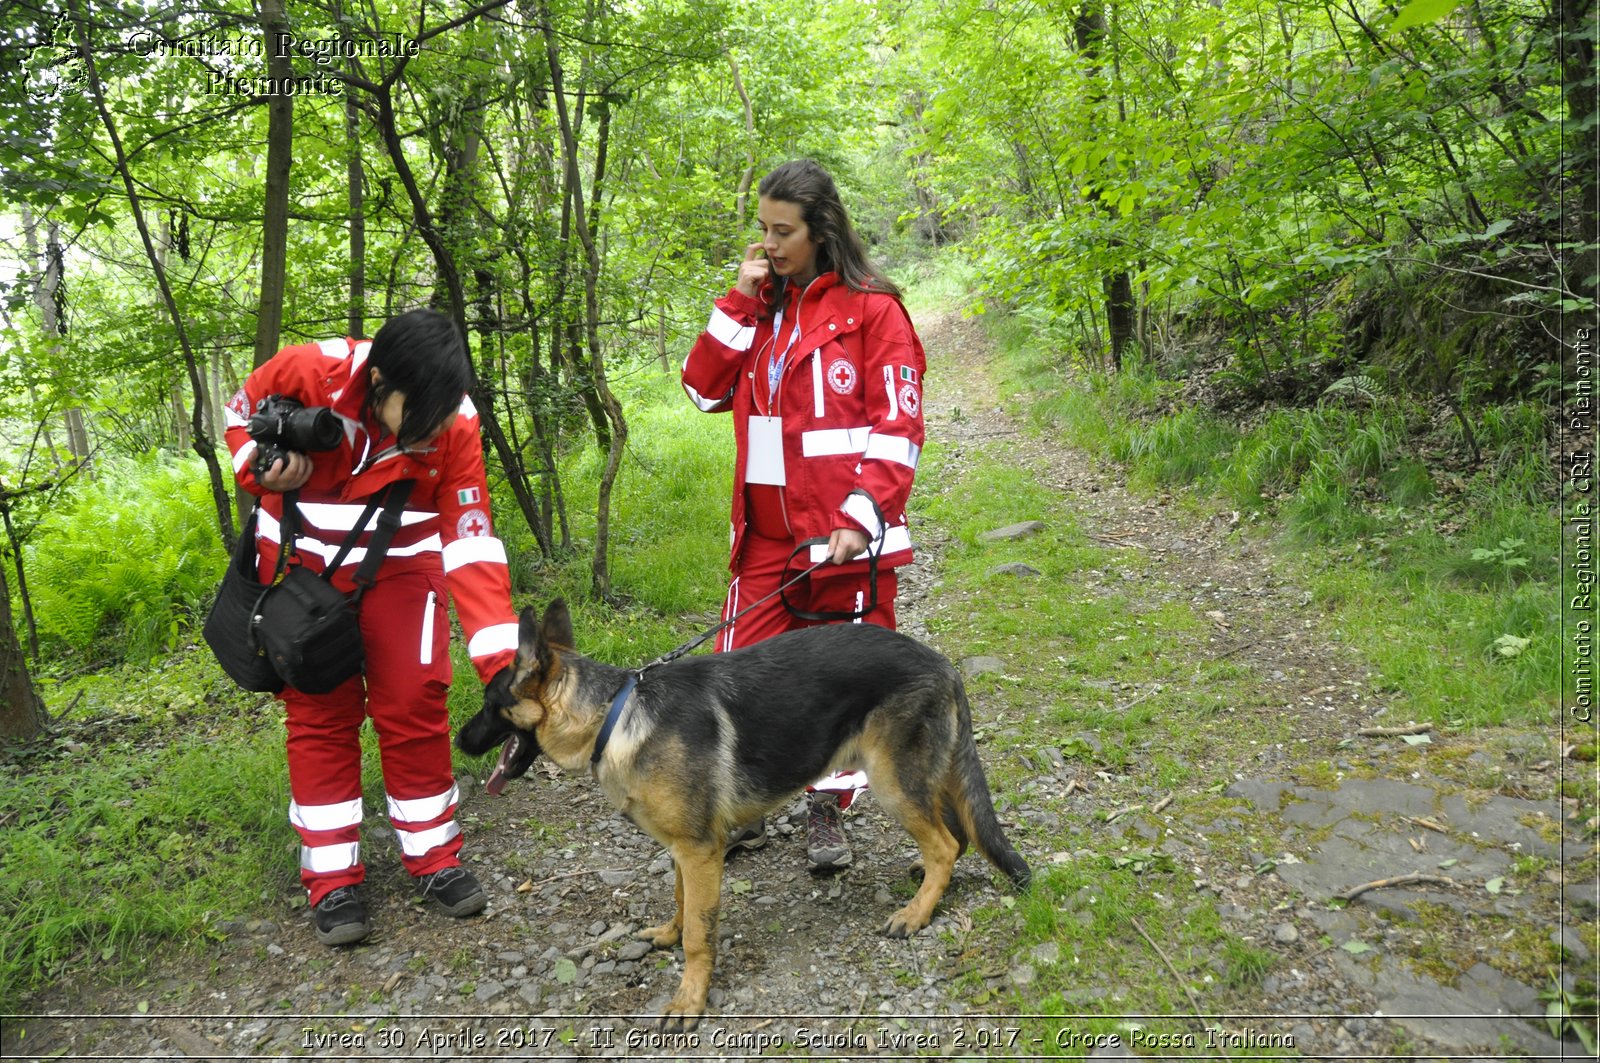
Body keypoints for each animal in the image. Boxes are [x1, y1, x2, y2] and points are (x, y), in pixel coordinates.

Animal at [457, 601, 1030, 1030]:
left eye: (488, 703)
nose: (459, 742)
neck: (613, 718)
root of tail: (941, 663)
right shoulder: (685, 850)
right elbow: (682, 903)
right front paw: (668, 934)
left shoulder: (698, 851)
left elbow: (700, 934)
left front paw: (690, 999)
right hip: (918, 778)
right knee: (954, 832)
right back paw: (926, 880)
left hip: (891, 784)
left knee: (946, 843)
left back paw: (916, 913)